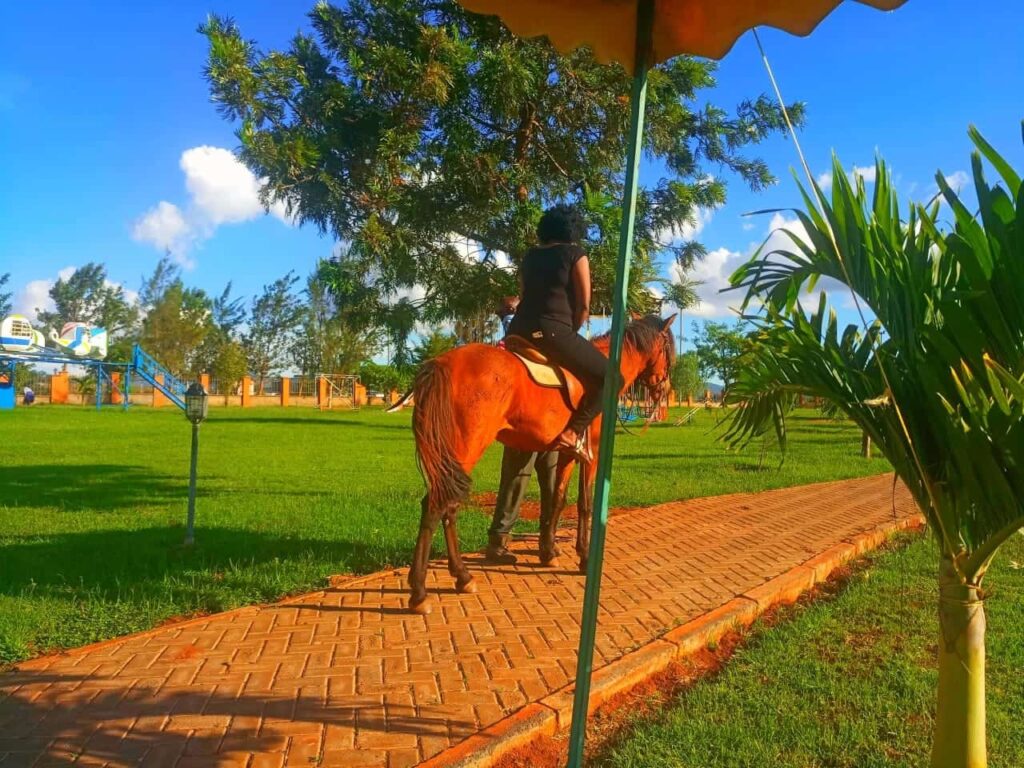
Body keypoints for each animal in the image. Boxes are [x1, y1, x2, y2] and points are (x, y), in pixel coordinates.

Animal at [403, 313, 675, 614]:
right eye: (668, 349)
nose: (665, 389)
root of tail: (440, 363)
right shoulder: (592, 453)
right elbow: (585, 504)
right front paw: (584, 558)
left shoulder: (567, 454)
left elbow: (557, 500)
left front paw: (549, 551)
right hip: (466, 448)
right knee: (437, 505)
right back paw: (420, 592)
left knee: (447, 506)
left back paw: (462, 576)